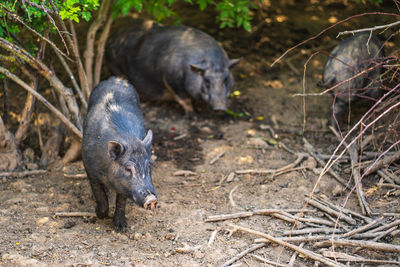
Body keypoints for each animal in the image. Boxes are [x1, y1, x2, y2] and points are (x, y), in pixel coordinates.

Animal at [82, 76, 157, 231]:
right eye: (128, 168)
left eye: (148, 167)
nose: (152, 199)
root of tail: (116, 78)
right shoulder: (89, 167)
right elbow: (98, 192)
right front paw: (99, 214)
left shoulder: (124, 185)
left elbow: (121, 200)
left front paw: (121, 227)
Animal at [104, 19, 241, 113]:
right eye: (206, 82)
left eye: (226, 80)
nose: (220, 107)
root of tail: (113, 36)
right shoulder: (172, 80)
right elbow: (184, 100)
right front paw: (191, 114)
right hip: (115, 67)